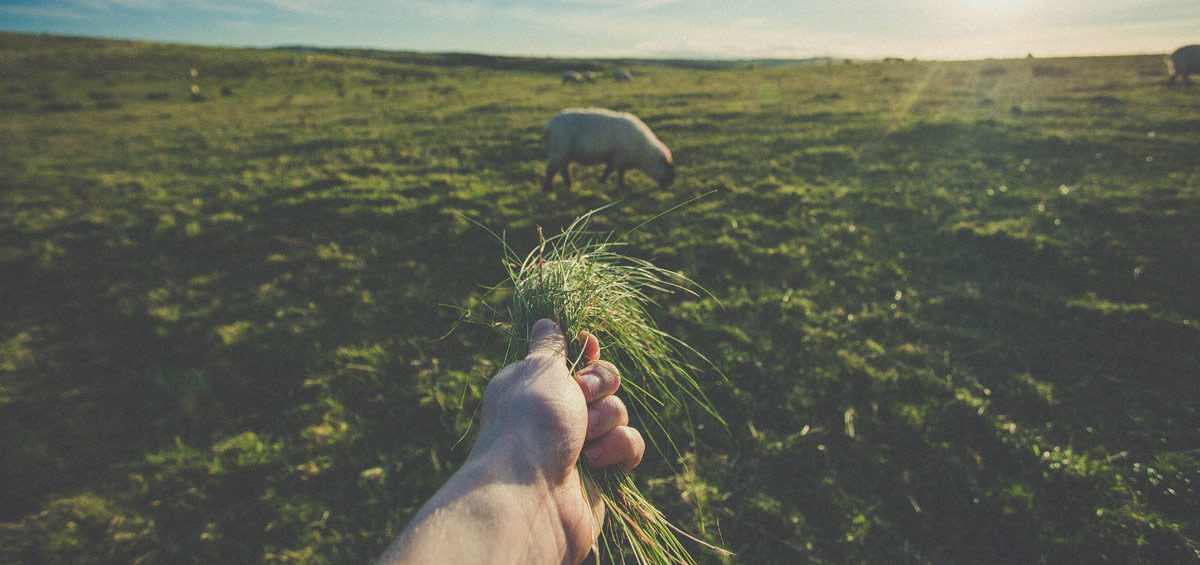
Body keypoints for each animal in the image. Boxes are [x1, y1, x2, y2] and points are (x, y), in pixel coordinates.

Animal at [544, 107, 676, 191]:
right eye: (667, 167)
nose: (670, 185)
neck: (643, 152)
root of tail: (549, 125)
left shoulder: (614, 157)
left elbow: (610, 169)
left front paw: (602, 181)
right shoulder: (620, 157)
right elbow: (619, 172)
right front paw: (622, 186)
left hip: (564, 153)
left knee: (564, 169)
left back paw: (570, 185)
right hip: (559, 150)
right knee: (551, 170)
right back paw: (548, 189)